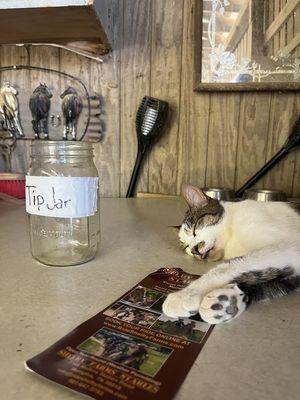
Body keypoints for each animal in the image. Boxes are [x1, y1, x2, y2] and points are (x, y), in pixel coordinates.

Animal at [163, 186, 300, 324]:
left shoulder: (287, 248)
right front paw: (229, 301)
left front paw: (185, 295)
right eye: (186, 246)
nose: (194, 250)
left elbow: (227, 267)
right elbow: (272, 283)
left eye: (195, 230)